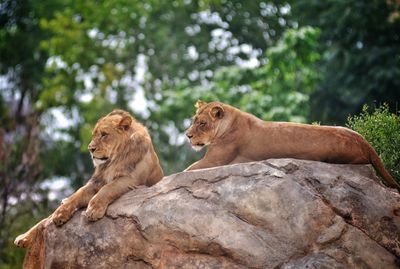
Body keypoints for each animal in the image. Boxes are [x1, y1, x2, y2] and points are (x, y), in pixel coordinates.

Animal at [14, 109, 163, 268]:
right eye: (94, 135)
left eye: (104, 134)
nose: (91, 149)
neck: (114, 159)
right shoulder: (96, 181)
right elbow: (77, 194)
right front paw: (61, 213)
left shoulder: (131, 179)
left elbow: (108, 188)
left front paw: (93, 210)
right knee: (45, 221)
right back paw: (24, 237)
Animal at [186, 100, 400, 191]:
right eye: (193, 120)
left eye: (202, 123)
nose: (187, 136)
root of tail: (365, 142)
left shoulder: (215, 160)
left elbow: (185, 170)